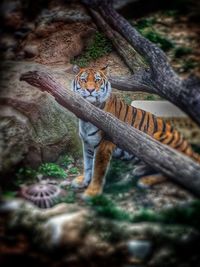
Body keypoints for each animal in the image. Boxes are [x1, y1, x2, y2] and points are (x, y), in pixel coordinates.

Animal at [70, 65, 200, 199]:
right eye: (84, 80)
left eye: (97, 80)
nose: (90, 90)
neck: (86, 113)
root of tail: (189, 148)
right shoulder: (87, 143)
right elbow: (88, 165)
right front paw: (83, 181)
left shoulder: (104, 144)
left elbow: (97, 169)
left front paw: (92, 192)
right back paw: (140, 170)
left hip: (160, 140)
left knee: (173, 173)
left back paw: (146, 180)